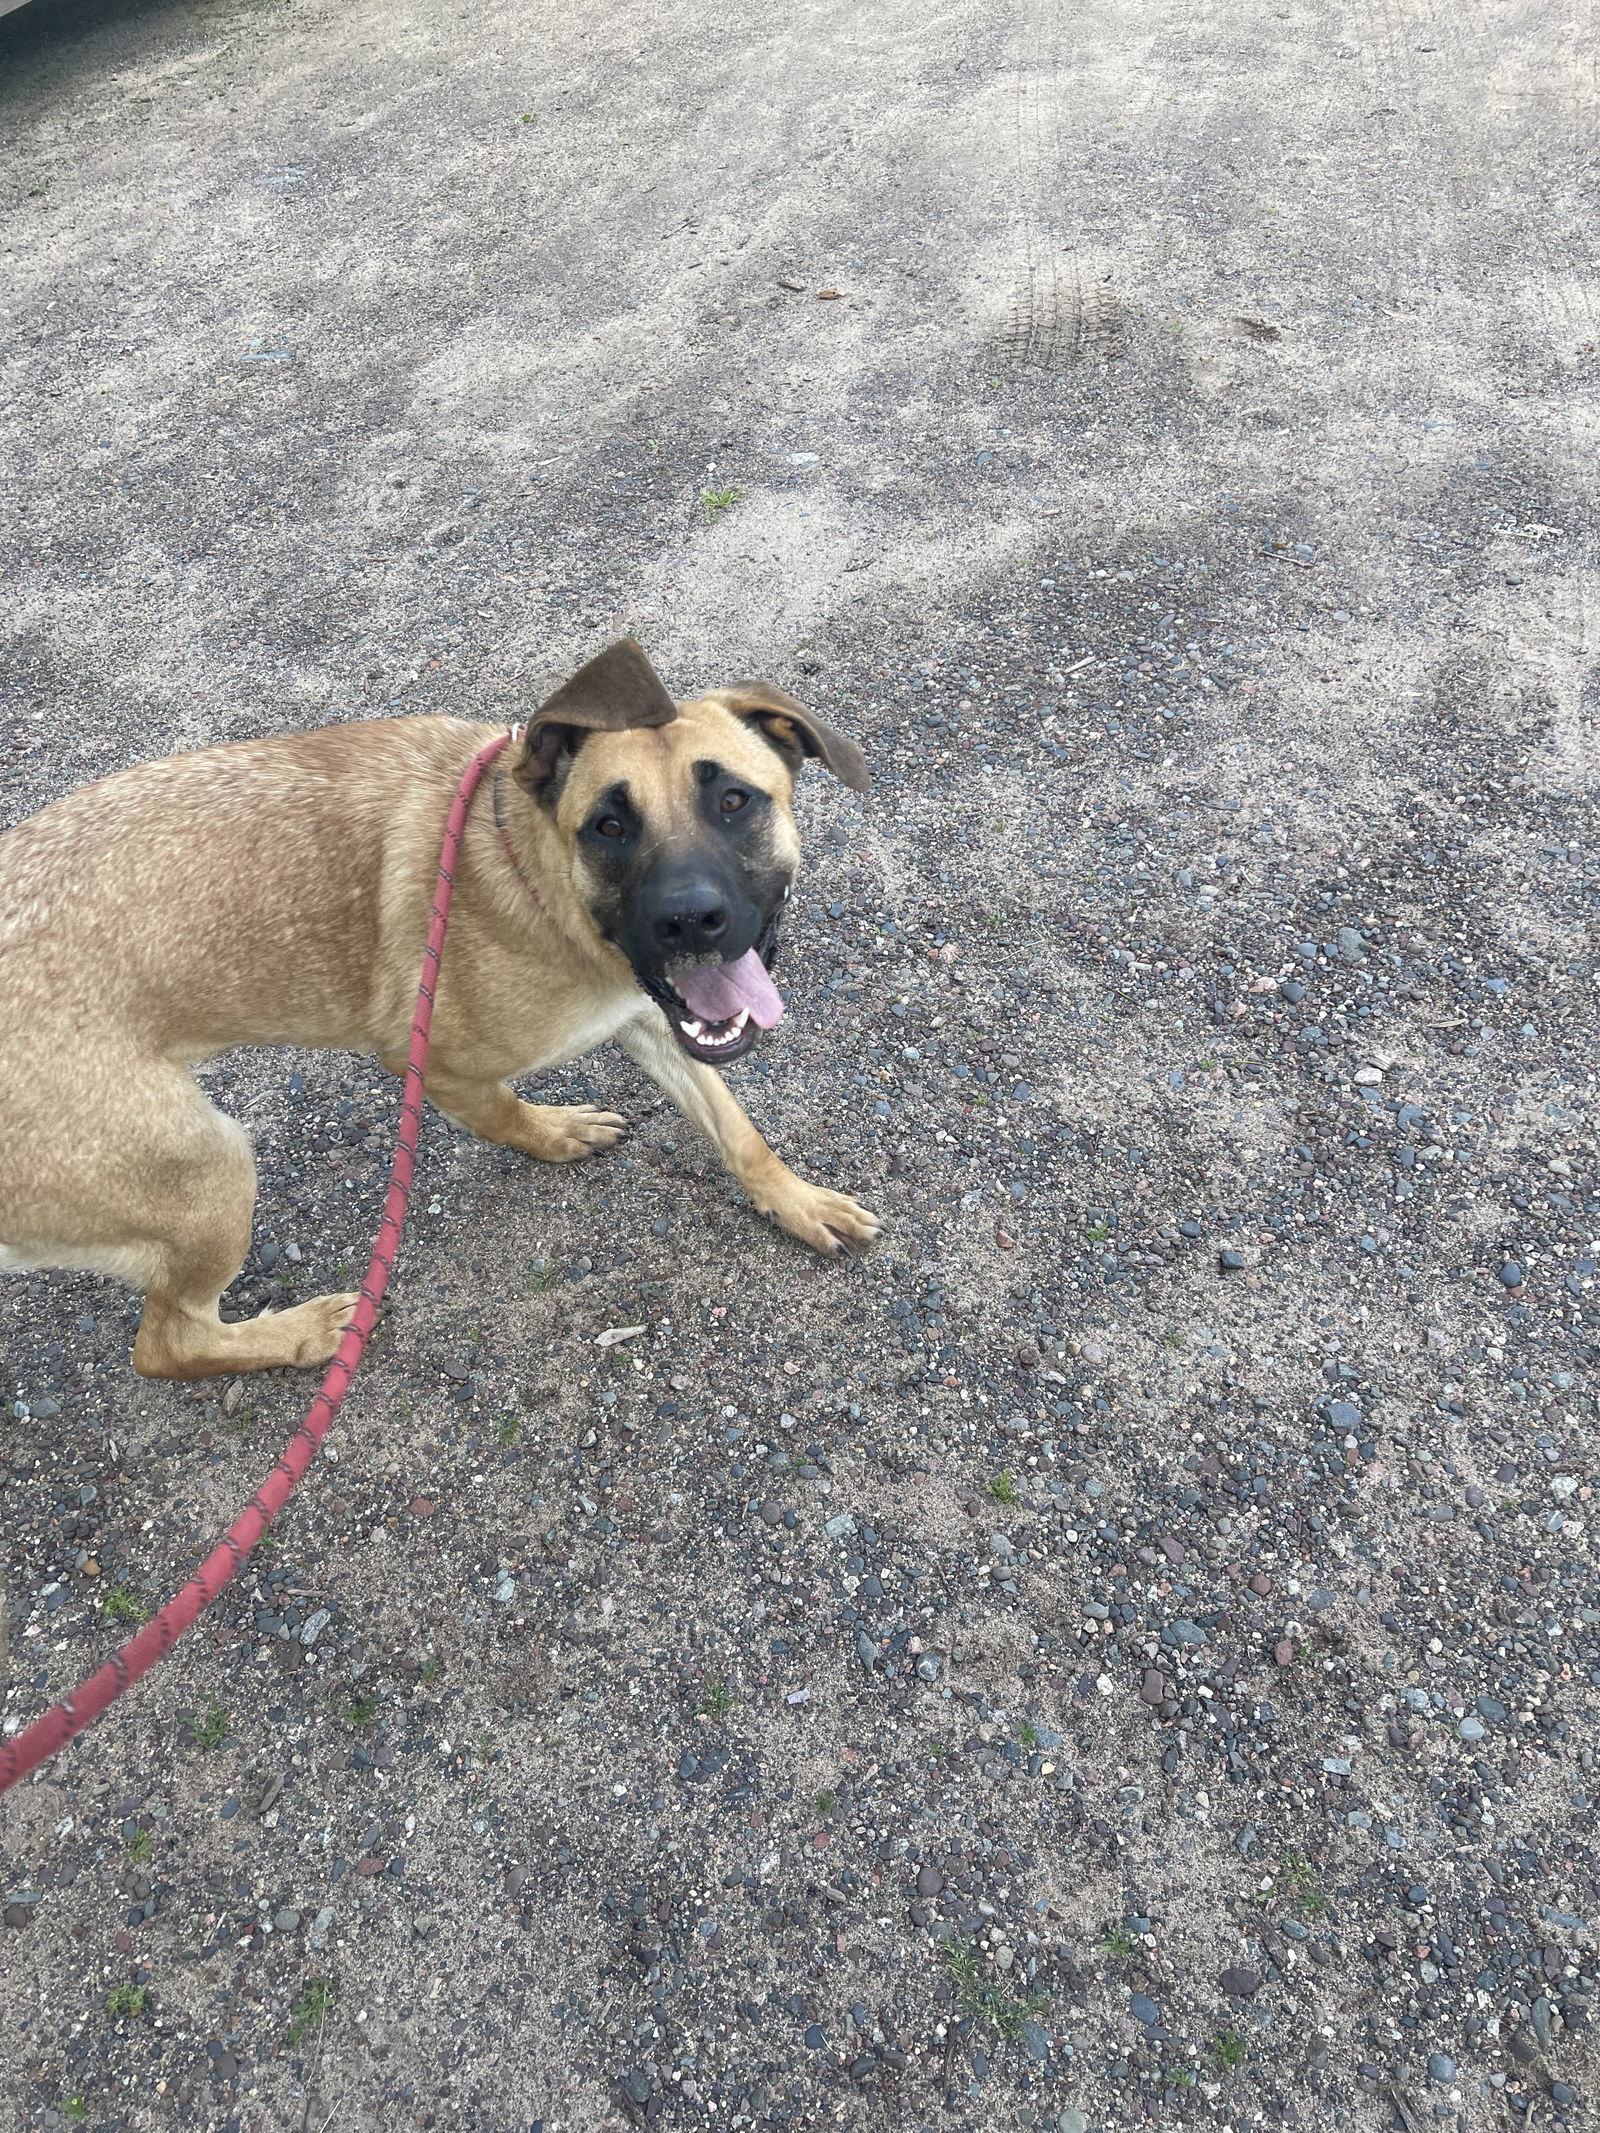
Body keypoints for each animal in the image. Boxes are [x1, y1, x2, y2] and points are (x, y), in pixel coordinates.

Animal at [0, 639, 883, 1382]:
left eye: (735, 800)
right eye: (608, 825)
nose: (691, 921)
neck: (526, 868)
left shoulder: (645, 1009)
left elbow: (738, 1130)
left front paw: (796, 1200)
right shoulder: (432, 1062)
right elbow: (504, 1110)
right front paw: (554, 1132)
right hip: (207, 1170)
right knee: (166, 1344)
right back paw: (306, 1333)